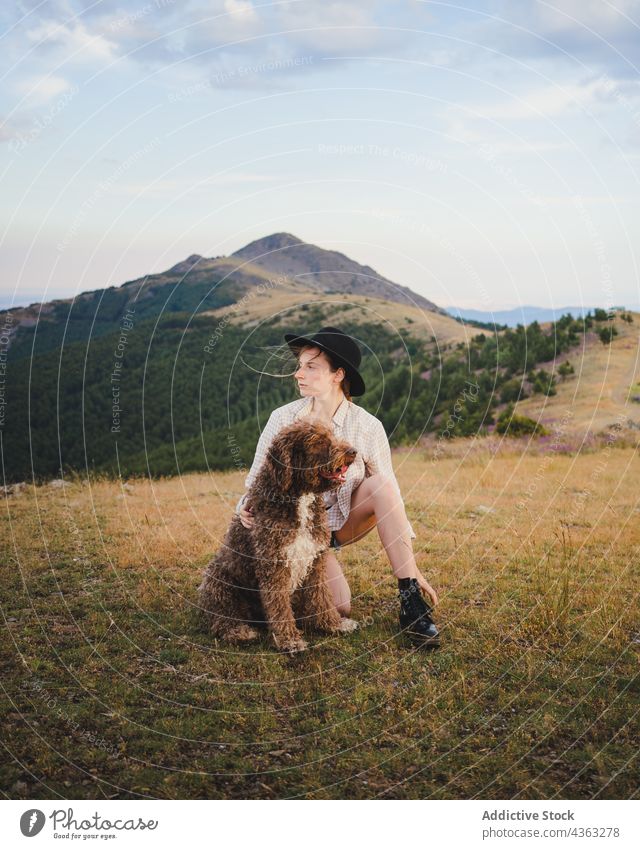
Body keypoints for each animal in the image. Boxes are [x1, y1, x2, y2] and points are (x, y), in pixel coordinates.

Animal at [199, 420, 360, 652]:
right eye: (318, 441)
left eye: (332, 435)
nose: (353, 451)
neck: (299, 496)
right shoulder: (273, 565)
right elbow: (279, 607)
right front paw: (289, 640)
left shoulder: (315, 561)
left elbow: (321, 597)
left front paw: (333, 624)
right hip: (218, 582)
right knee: (220, 620)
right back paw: (240, 631)